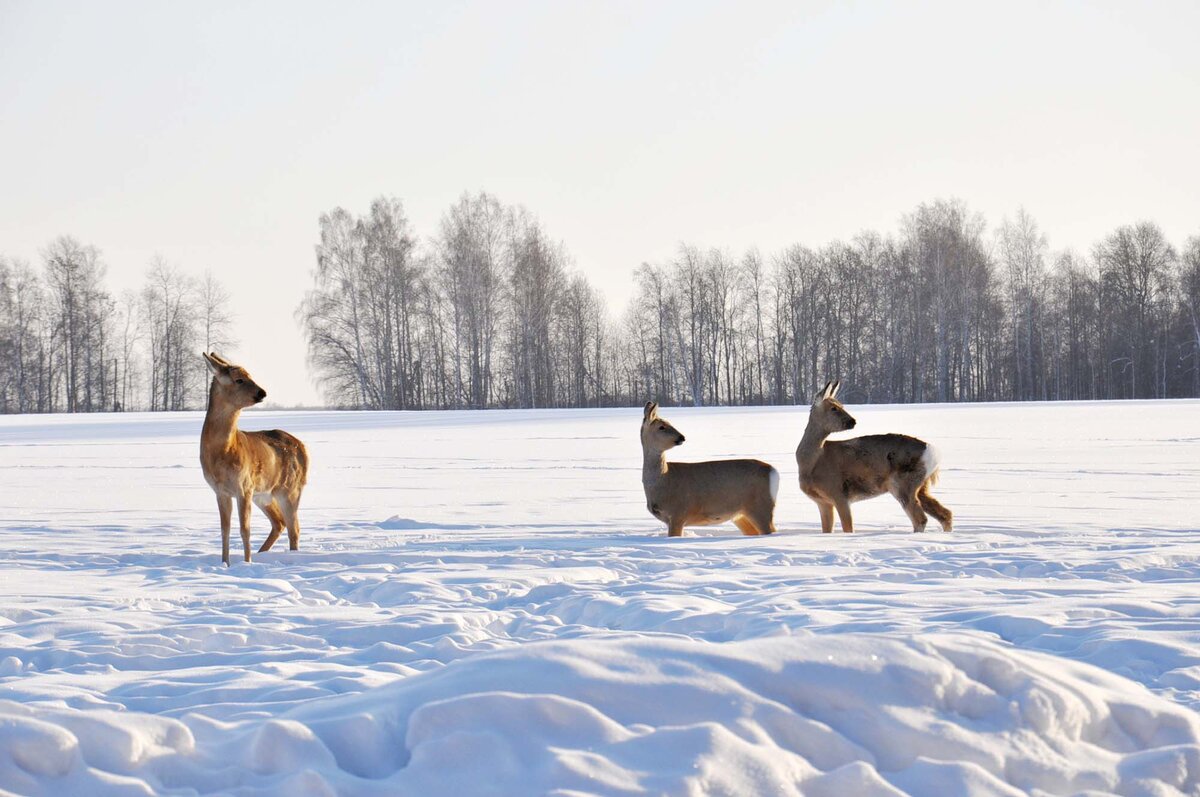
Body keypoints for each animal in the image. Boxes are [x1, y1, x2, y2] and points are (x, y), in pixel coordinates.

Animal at [199, 352, 309, 564]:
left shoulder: (245, 486)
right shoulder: (220, 491)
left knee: (294, 528)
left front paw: (246, 562)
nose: (262, 392)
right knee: (280, 523)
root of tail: (303, 447)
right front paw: (225, 563)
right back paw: (262, 553)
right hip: (265, 494)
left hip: (290, 488)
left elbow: (245, 530)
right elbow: (225, 530)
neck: (222, 452)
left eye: (250, 375)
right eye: (239, 379)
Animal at [638, 400, 777, 537]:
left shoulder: (679, 511)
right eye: (661, 427)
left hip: (760, 506)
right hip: (740, 514)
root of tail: (773, 471)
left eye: (669, 423)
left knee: (771, 530)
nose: (682, 437)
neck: (664, 480)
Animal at [796, 381, 955, 535]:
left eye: (841, 405)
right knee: (945, 513)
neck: (812, 462)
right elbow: (827, 529)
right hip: (921, 486)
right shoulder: (823, 501)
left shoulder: (839, 493)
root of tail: (934, 453)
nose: (853, 421)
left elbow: (848, 528)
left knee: (920, 518)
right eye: (833, 408)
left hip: (903, 483)